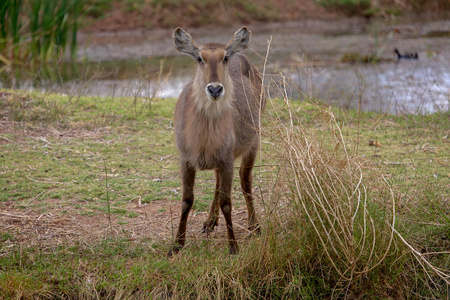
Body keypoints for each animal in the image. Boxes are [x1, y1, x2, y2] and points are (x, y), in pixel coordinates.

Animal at [171, 27, 266, 254]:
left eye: (224, 58)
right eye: (199, 58)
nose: (214, 89)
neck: (203, 139)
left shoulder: (227, 160)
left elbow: (227, 203)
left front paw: (233, 246)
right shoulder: (186, 159)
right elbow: (186, 201)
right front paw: (177, 244)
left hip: (253, 142)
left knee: (245, 181)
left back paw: (254, 225)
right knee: (217, 183)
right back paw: (209, 222)